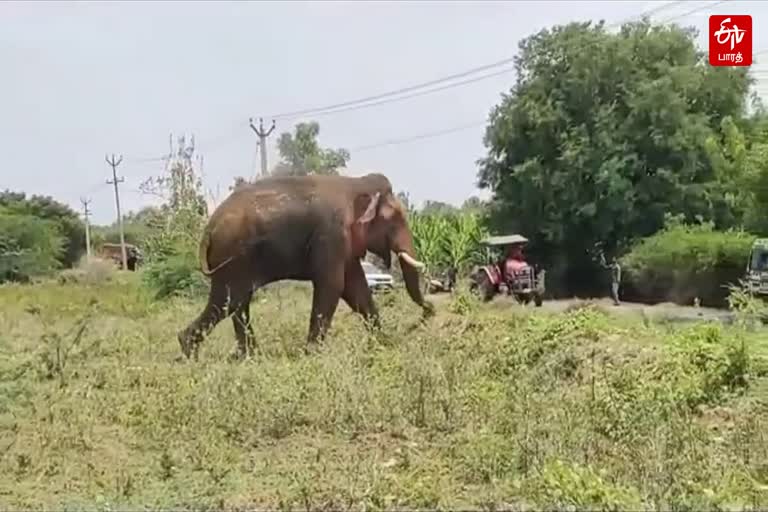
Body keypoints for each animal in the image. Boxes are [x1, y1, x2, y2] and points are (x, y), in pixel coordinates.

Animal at [176, 172, 434, 360]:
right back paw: (191, 352)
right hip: (231, 258)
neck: (356, 182)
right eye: (395, 220)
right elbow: (333, 286)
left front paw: (385, 343)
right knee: (228, 302)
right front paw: (311, 355)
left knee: (238, 303)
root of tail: (208, 229)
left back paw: (248, 357)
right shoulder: (331, 235)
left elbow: (356, 289)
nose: (427, 312)